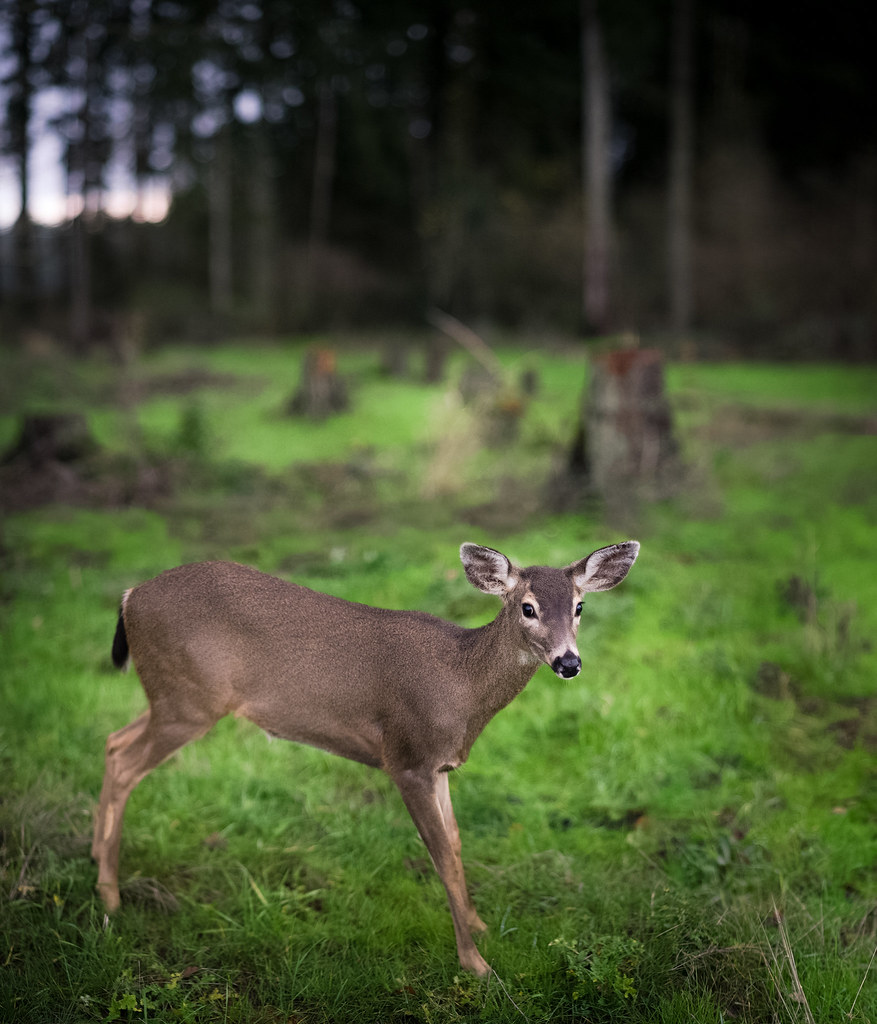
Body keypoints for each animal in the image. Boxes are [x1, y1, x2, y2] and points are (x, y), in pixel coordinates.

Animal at [92, 540, 639, 977]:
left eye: (580, 606)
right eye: (527, 607)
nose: (568, 662)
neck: (461, 687)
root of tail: (129, 596)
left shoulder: (440, 765)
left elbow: (456, 843)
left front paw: (481, 926)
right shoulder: (407, 758)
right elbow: (441, 857)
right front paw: (476, 964)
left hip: (170, 697)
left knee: (113, 741)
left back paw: (98, 861)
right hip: (188, 697)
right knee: (125, 763)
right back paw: (110, 896)